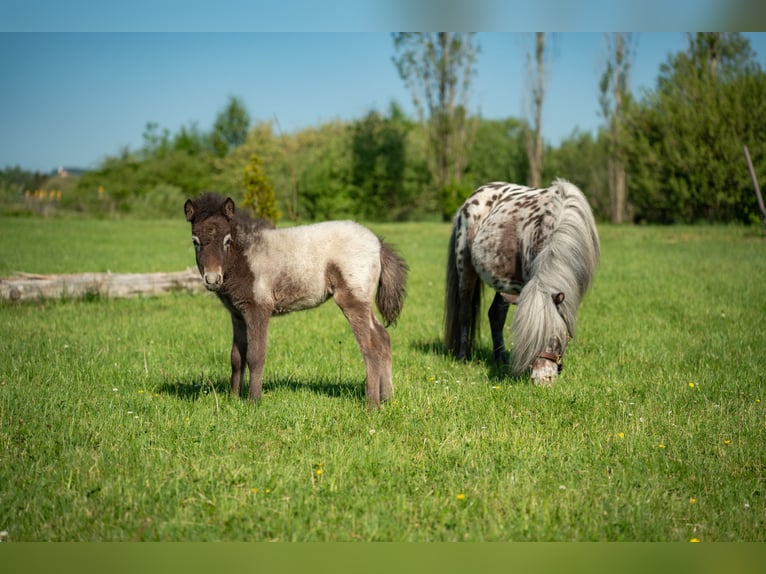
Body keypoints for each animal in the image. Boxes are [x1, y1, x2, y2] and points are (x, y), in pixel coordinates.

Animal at [184, 193, 408, 409]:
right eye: (195, 241)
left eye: (227, 241)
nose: (213, 279)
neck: (245, 258)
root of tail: (378, 243)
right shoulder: (237, 315)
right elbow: (236, 357)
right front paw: (233, 399)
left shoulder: (259, 309)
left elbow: (255, 356)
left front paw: (253, 402)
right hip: (363, 301)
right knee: (382, 338)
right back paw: (388, 398)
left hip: (353, 301)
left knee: (370, 347)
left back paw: (372, 405)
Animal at [444, 179, 600, 385]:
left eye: (558, 338)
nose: (542, 380)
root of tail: (469, 201)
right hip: (465, 270)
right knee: (466, 313)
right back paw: (463, 357)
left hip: (502, 284)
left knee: (496, 316)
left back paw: (501, 359)